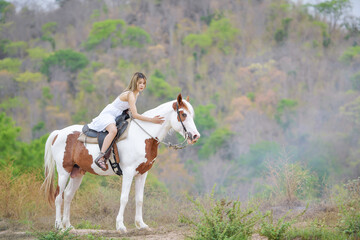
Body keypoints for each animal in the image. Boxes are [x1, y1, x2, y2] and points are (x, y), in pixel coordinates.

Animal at [43, 94, 200, 232]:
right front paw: (120, 226)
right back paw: (59, 226)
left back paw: (68, 226)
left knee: (68, 195)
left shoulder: (142, 173)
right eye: (183, 114)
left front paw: (141, 225)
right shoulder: (129, 172)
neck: (143, 136)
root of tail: (58, 133)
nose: (195, 136)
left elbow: (139, 199)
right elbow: (124, 198)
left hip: (77, 172)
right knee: (58, 197)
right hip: (64, 171)